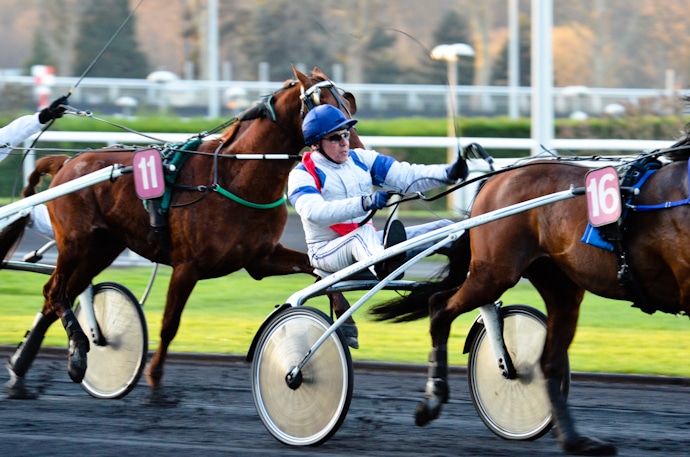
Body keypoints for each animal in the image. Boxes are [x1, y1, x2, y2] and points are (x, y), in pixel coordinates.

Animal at [5, 66, 362, 398]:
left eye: (347, 101)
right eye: (321, 102)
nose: (352, 146)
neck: (234, 176)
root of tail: (67, 161)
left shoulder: (260, 259)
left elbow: (317, 270)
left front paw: (346, 321)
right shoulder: (187, 267)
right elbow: (169, 324)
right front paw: (154, 377)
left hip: (101, 248)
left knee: (57, 297)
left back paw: (21, 367)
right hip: (75, 243)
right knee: (55, 292)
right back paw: (77, 354)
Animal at [370, 137, 690, 454]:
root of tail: (496, 178)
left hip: (558, 285)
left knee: (548, 360)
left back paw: (574, 439)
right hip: (494, 273)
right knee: (439, 306)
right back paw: (432, 399)